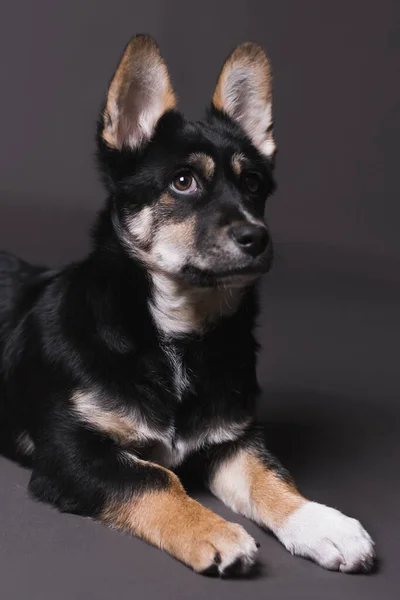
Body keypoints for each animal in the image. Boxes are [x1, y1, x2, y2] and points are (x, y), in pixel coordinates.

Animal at [0, 34, 376, 576]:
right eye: (183, 181)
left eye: (254, 184)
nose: (257, 238)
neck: (175, 334)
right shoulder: (72, 453)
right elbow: (157, 478)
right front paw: (213, 530)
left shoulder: (232, 440)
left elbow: (270, 476)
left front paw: (320, 522)